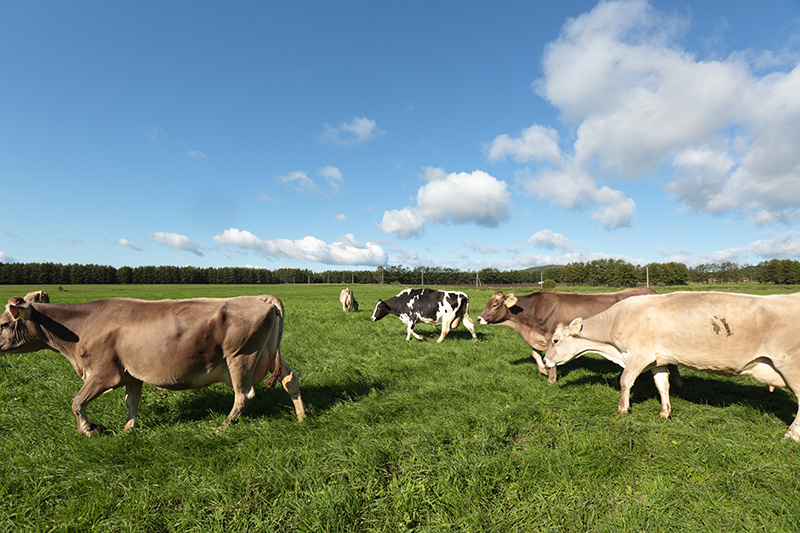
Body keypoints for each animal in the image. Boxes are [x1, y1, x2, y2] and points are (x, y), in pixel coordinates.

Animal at [0, 294, 306, 434]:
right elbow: (131, 401)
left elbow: (77, 402)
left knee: (244, 394)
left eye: (3, 324)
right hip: (269, 355)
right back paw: (302, 417)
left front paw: (87, 430)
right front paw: (129, 428)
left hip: (240, 357)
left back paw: (223, 426)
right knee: (290, 378)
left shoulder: (103, 373)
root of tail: (261, 297)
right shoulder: (130, 374)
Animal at [478, 286, 680, 382]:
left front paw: (551, 379)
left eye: (494, 304)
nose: (479, 319)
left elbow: (551, 360)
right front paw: (543, 370)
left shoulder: (552, 336)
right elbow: (535, 354)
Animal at [544, 290, 800, 440]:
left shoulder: (638, 356)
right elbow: (662, 385)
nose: (545, 361)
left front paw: (623, 409)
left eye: (555, 340)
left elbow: (625, 381)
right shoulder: (657, 360)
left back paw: (791, 435)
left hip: (791, 367)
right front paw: (664, 412)